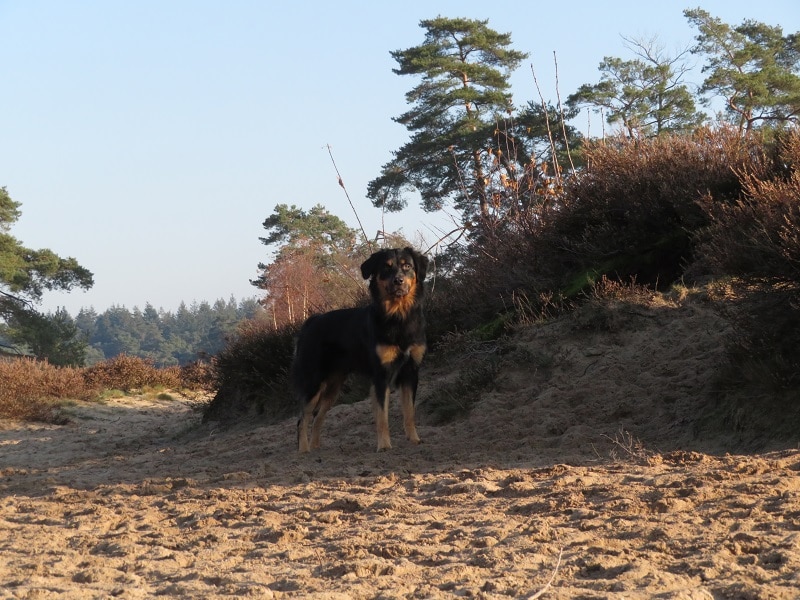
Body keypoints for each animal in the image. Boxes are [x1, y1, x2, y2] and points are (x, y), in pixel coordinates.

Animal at [292, 246, 428, 452]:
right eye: (386, 267)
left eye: (407, 266)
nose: (398, 280)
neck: (398, 316)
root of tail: (311, 322)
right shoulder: (381, 375)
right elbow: (382, 416)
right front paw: (384, 445)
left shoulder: (410, 372)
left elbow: (410, 412)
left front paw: (414, 439)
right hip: (314, 382)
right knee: (303, 419)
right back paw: (304, 450)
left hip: (333, 386)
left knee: (317, 417)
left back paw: (315, 448)